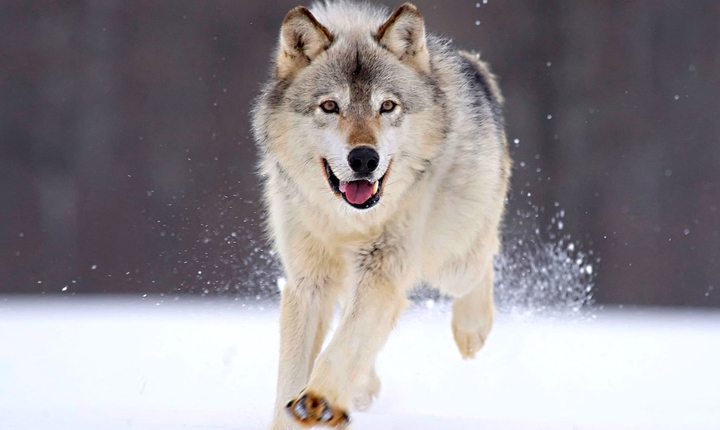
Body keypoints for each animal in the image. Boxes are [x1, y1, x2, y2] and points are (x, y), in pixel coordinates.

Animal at [252, 1, 511, 428]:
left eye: (387, 106)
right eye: (330, 106)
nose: (364, 158)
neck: (348, 221)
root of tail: (474, 66)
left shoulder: (382, 269)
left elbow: (346, 343)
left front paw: (320, 398)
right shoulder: (308, 281)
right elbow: (293, 372)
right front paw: (300, 410)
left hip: (450, 260)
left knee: (484, 254)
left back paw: (472, 329)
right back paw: (362, 388)